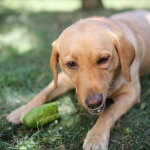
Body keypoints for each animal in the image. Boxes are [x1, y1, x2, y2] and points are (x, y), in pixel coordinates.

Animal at [6, 10, 150, 150]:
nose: (94, 103)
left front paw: (96, 136)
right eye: (71, 64)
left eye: (104, 59)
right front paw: (23, 109)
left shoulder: (131, 93)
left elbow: (108, 112)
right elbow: (42, 94)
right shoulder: (62, 79)